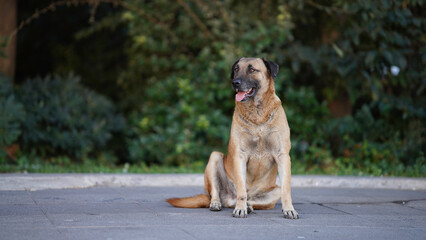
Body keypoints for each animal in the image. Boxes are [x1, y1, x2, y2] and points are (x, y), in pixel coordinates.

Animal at [167, 57, 300, 218]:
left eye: (252, 69)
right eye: (236, 69)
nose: (235, 82)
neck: (257, 115)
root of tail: (228, 199)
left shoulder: (283, 156)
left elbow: (286, 190)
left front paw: (289, 209)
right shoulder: (239, 155)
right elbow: (241, 189)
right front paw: (240, 208)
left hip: (274, 191)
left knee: (255, 200)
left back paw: (248, 206)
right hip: (214, 158)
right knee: (218, 194)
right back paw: (219, 204)